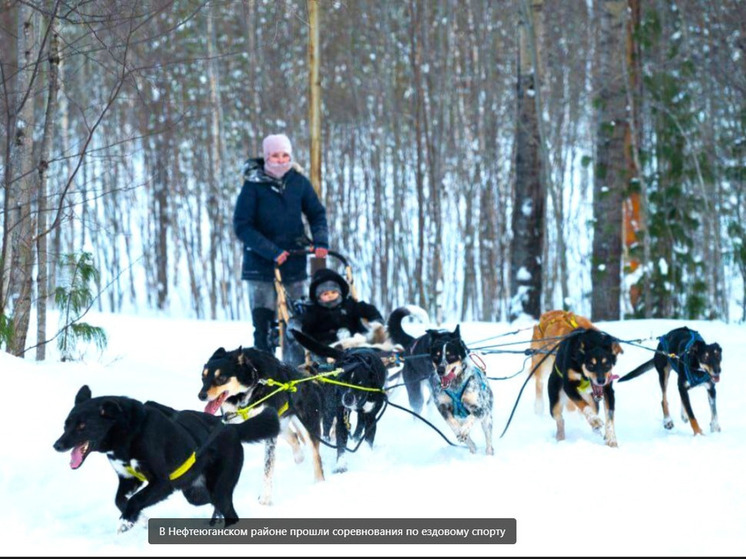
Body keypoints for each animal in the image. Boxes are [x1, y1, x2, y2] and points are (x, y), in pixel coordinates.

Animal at [53, 384, 280, 532]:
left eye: (82, 426)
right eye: (66, 424)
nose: (57, 445)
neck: (128, 432)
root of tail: (231, 429)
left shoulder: (162, 483)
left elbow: (136, 499)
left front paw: (126, 521)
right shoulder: (129, 479)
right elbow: (120, 500)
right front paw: (137, 519)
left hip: (218, 487)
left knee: (229, 510)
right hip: (195, 492)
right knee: (213, 504)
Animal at [198, 346, 326, 508]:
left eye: (221, 378)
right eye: (203, 377)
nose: (201, 395)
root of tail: (309, 378)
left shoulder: (269, 435)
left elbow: (268, 467)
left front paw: (265, 498)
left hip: (307, 426)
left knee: (316, 456)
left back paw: (320, 484)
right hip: (279, 425)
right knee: (294, 437)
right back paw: (299, 457)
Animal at [290, 330, 386, 474]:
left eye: (360, 383)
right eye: (343, 380)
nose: (347, 398)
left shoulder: (371, 417)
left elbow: (368, 438)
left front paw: (366, 455)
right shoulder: (341, 417)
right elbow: (341, 444)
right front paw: (341, 465)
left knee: (359, 426)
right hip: (330, 410)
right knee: (327, 427)